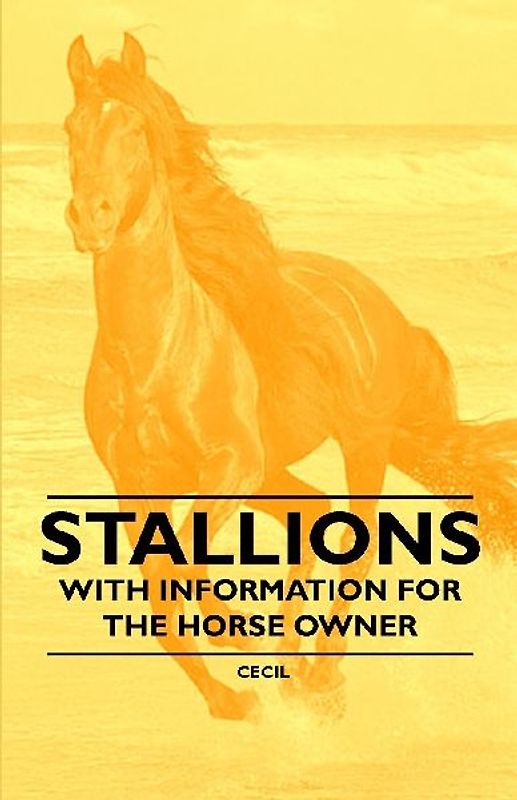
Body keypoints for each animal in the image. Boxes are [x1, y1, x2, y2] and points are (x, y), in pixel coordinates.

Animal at [64, 32, 517, 721]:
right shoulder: (136, 483)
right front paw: (237, 697)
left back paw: (320, 674)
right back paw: (298, 667)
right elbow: (160, 590)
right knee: (312, 513)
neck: (155, 354)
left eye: (136, 130)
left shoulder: (231, 465)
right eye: (71, 128)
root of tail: (386, 310)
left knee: (355, 543)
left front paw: (249, 654)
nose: (91, 216)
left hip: (360, 445)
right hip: (278, 470)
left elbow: (186, 572)